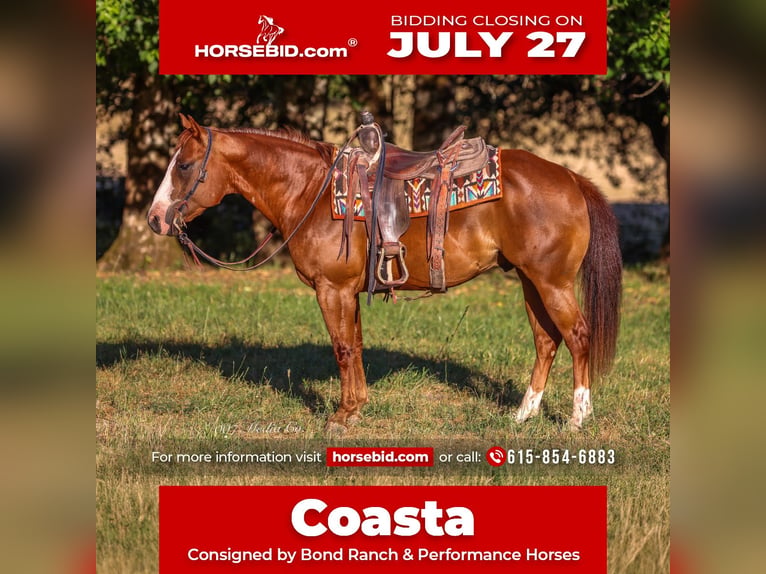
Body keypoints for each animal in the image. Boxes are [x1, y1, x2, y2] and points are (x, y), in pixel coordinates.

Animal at [147, 114, 622, 433]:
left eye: (184, 166)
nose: (155, 218)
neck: (310, 190)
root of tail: (570, 177)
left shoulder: (333, 289)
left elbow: (341, 349)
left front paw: (341, 416)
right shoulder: (349, 291)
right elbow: (355, 346)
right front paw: (357, 407)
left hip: (551, 282)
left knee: (577, 336)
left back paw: (578, 418)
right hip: (529, 281)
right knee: (546, 341)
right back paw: (523, 414)